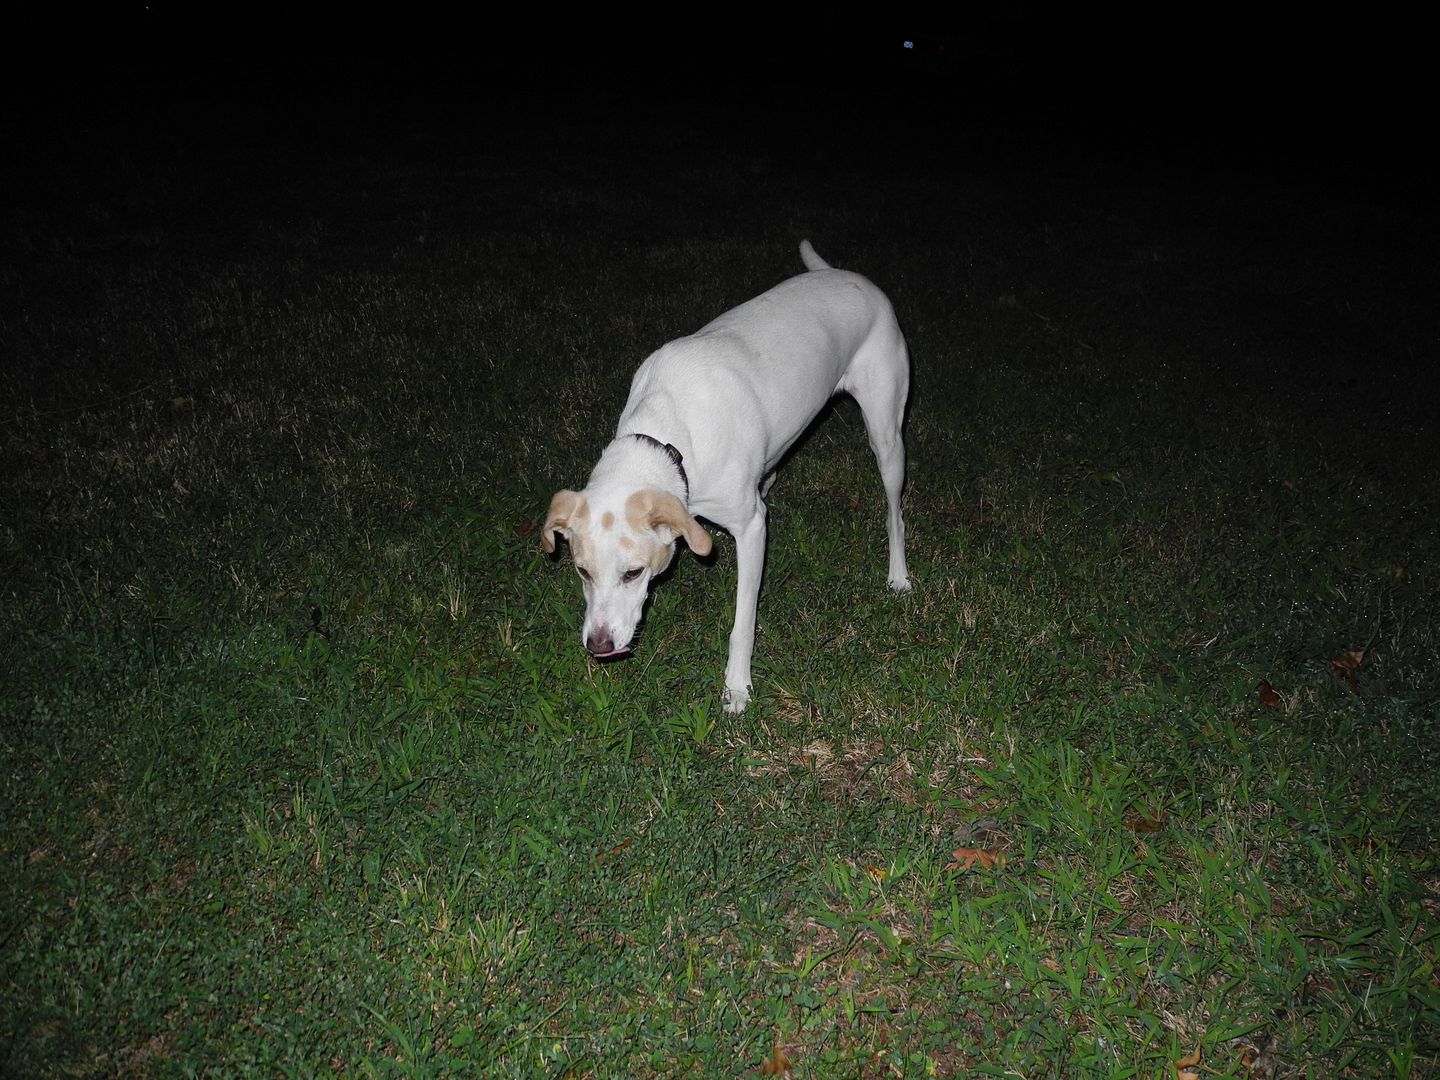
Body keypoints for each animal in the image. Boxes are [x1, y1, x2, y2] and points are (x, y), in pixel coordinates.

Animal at [541, 240, 910, 714]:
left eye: (633, 573)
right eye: (582, 572)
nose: (599, 646)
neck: (670, 436)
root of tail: (849, 275)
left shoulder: (752, 528)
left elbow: (742, 623)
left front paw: (737, 686)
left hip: (887, 437)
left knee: (895, 512)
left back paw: (899, 576)